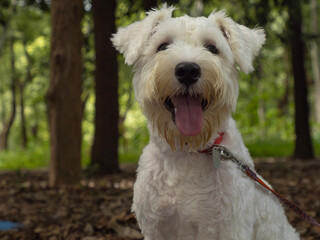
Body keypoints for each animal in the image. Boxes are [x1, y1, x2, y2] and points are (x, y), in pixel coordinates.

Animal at [111, 5, 298, 240]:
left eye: (212, 47)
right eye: (162, 46)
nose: (187, 70)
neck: (187, 152)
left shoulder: (230, 229)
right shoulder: (156, 229)